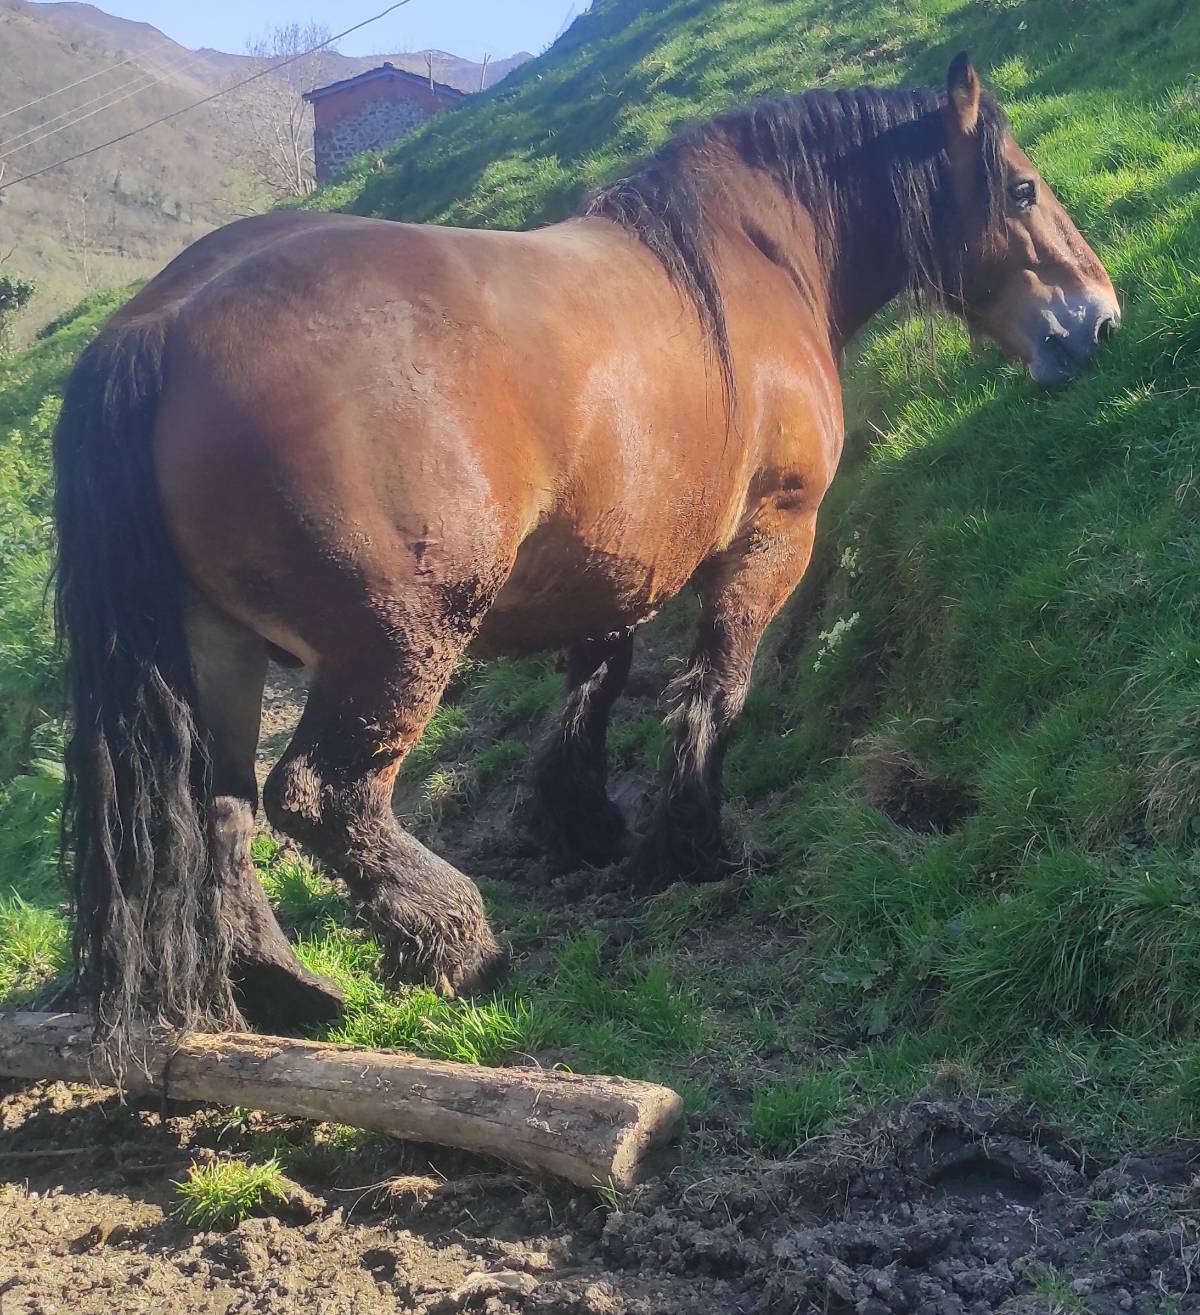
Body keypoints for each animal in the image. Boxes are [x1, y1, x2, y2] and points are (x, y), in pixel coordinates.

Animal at [53, 55, 1119, 1056]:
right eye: (1021, 190)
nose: (1098, 319)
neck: (752, 265)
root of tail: (161, 323)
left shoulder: (618, 559)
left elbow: (594, 686)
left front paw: (583, 823)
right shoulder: (771, 538)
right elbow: (715, 689)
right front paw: (689, 840)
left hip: (221, 652)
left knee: (221, 811)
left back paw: (291, 987)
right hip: (396, 644)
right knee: (321, 797)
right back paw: (460, 940)